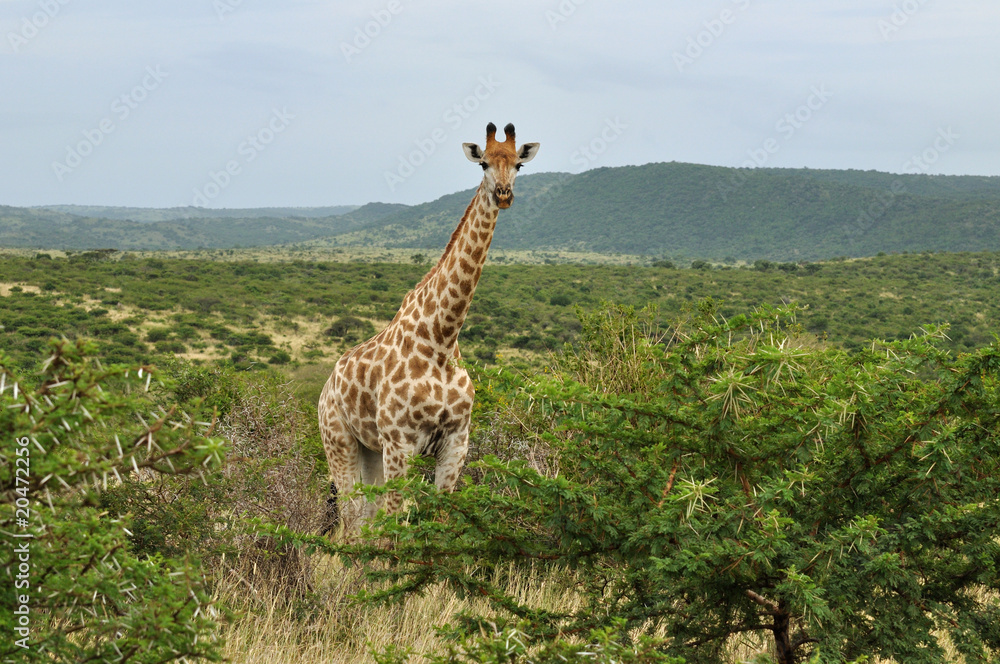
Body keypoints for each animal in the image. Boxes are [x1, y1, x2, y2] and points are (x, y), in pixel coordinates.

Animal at [318, 122, 539, 532]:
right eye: (483, 163)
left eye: (518, 164)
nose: (503, 195)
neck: (441, 338)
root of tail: (325, 389)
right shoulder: (400, 441)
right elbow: (393, 524)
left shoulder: (456, 441)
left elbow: (438, 517)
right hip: (338, 440)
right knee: (353, 520)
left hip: (370, 449)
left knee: (365, 521)